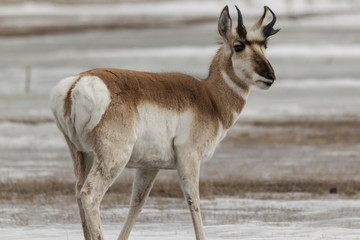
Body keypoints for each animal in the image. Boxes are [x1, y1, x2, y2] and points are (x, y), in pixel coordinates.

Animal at [50, 4, 278, 240]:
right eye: (239, 46)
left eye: (265, 45)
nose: (270, 76)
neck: (210, 98)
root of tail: (76, 84)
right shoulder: (189, 158)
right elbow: (193, 202)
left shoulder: (150, 166)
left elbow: (137, 204)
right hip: (113, 159)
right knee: (89, 194)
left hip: (81, 154)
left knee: (78, 192)